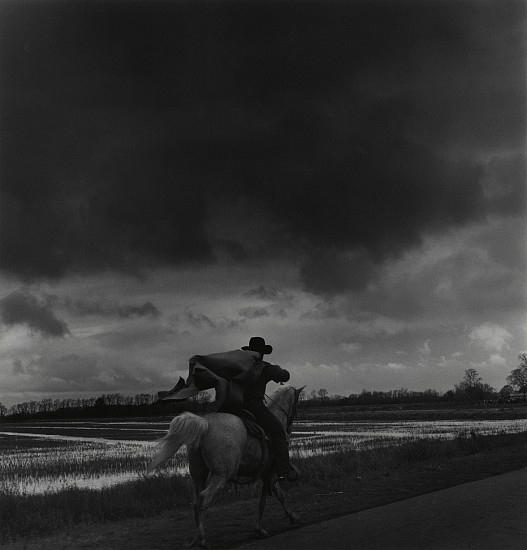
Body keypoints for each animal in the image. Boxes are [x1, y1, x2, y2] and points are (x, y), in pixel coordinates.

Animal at [148, 386, 306, 548]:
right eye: (297, 404)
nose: (289, 429)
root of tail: (205, 424)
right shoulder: (272, 474)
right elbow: (270, 500)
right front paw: (280, 522)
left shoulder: (267, 475)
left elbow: (272, 498)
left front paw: (272, 525)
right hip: (221, 475)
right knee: (204, 498)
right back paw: (202, 539)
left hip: (199, 476)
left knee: (196, 503)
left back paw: (195, 538)